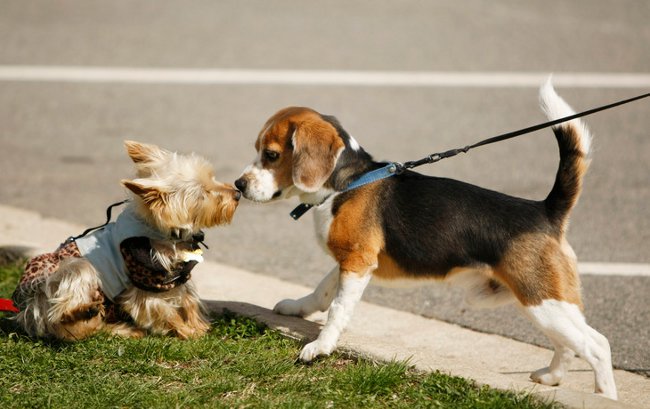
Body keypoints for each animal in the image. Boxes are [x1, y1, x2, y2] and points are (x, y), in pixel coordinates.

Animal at [12, 140, 240, 342]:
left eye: (212, 178)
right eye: (203, 194)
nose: (237, 193)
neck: (163, 233)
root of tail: (30, 309)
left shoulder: (176, 276)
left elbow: (188, 299)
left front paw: (197, 326)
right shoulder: (144, 281)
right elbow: (162, 309)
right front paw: (187, 331)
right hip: (71, 271)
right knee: (63, 313)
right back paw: (82, 310)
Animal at [234, 82, 616, 398]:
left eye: (271, 154)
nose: (238, 185)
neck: (347, 181)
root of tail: (546, 210)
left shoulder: (357, 262)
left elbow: (338, 309)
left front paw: (320, 347)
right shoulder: (352, 261)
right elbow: (322, 291)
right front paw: (297, 308)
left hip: (542, 300)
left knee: (597, 345)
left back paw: (604, 396)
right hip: (541, 302)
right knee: (569, 344)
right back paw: (551, 377)